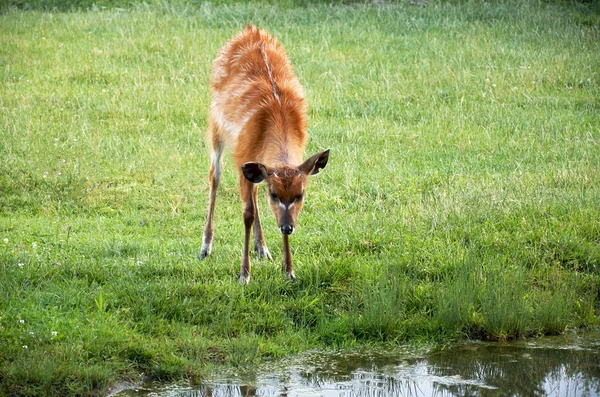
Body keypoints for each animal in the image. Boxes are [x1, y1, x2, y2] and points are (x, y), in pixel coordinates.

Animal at [198, 24, 328, 284]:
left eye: (300, 195)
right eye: (275, 194)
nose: (288, 228)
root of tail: (250, 29)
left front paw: (289, 271)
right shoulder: (242, 157)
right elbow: (247, 213)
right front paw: (243, 275)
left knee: (254, 189)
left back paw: (263, 249)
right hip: (215, 127)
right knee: (214, 176)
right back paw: (205, 247)